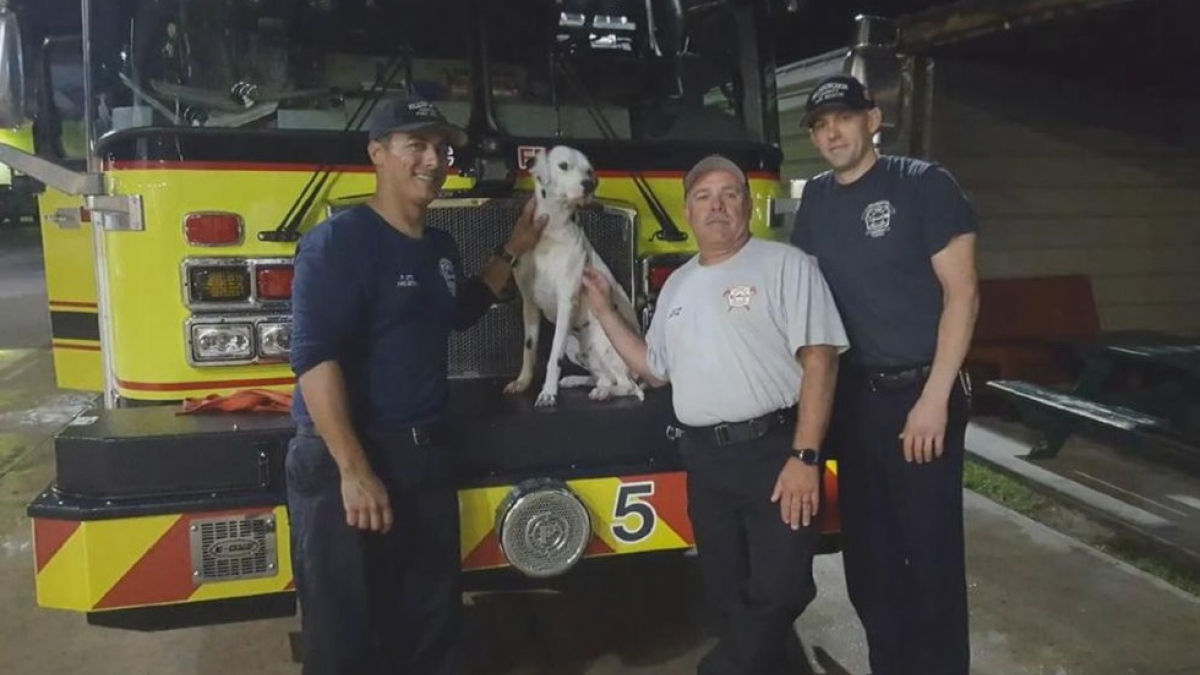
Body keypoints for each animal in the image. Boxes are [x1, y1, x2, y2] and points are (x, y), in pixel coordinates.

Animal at [501, 145, 643, 403]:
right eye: (564, 165)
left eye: (589, 170)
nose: (589, 184)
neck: (550, 232)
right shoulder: (529, 304)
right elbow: (529, 350)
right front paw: (522, 382)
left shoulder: (565, 302)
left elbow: (552, 357)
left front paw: (547, 392)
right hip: (576, 348)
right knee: (604, 377)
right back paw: (580, 381)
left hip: (602, 341)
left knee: (628, 386)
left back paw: (605, 392)